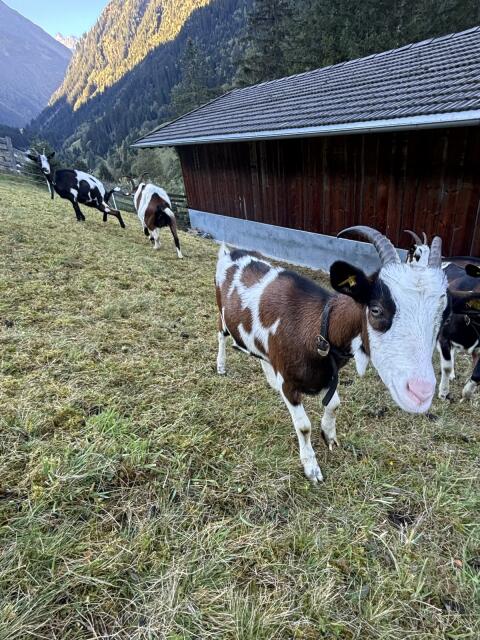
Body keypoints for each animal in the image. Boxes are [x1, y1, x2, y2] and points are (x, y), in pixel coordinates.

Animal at [215, 226, 449, 482]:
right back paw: (221, 366)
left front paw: (329, 436)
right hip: (221, 313)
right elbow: (304, 426)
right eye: (376, 309)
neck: (318, 328)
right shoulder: (290, 384)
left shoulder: (329, 377)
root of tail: (231, 251)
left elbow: (334, 404)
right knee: (221, 336)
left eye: (442, 315)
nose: (421, 393)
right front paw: (312, 468)